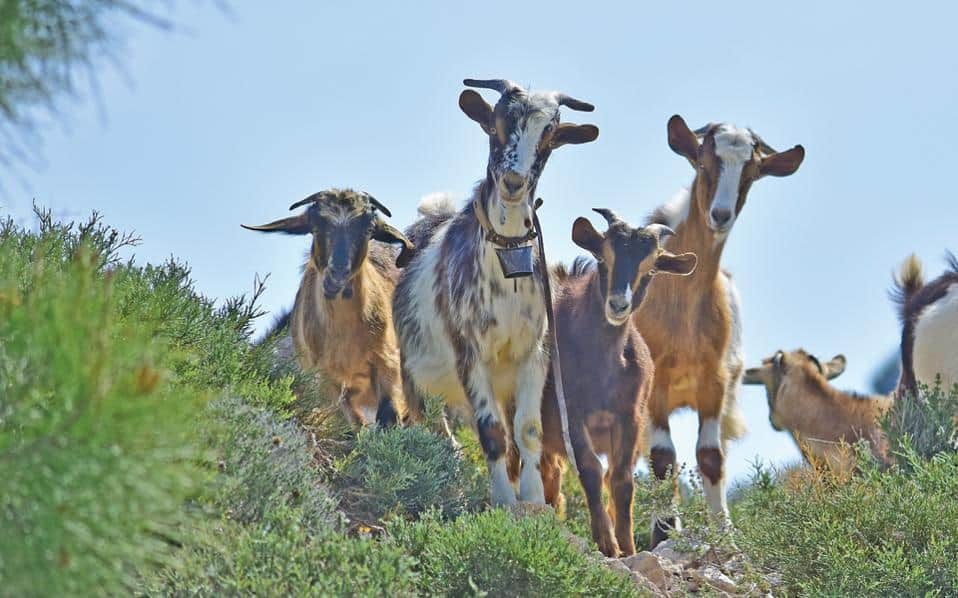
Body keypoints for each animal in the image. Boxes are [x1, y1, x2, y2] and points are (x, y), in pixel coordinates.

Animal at [243, 188, 414, 427]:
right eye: (315, 226)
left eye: (369, 229)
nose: (337, 274)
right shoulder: (325, 378)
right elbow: (354, 425)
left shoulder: (388, 361)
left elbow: (388, 417)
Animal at [393, 78, 599, 506]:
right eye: (496, 125)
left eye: (549, 135)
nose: (513, 183)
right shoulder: (469, 352)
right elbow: (491, 433)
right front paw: (504, 501)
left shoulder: (534, 353)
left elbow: (528, 431)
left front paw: (534, 502)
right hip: (414, 373)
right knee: (431, 427)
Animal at [537, 209, 697, 557]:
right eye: (602, 257)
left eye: (651, 268)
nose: (618, 305)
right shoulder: (572, 413)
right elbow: (590, 470)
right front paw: (607, 544)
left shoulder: (630, 417)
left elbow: (621, 479)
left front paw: (627, 546)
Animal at [636, 115, 805, 547]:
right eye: (702, 163)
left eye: (751, 173)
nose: (721, 214)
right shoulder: (654, 382)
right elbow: (662, 458)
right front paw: (664, 533)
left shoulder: (714, 379)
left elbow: (710, 456)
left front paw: (726, 535)